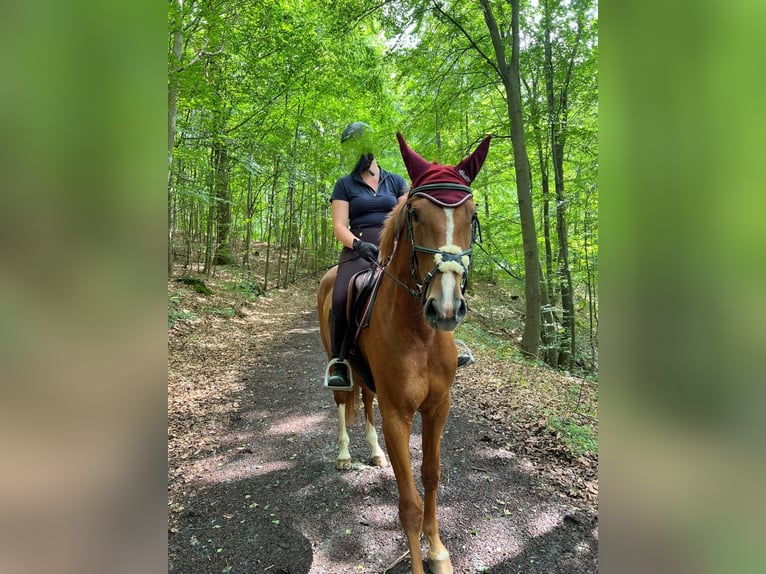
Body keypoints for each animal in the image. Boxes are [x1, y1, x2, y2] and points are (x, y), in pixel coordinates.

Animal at [317, 132, 491, 574]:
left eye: (472, 214)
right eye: (414, 214)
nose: (445, 308)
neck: (421, 336)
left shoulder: (438, 406)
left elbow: (431, 476)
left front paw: (439, 552)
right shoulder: (399, 414)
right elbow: (409, 502)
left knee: (365, 400)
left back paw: (375, 452)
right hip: (338, 366)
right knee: (342, 402)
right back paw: (345, 455)